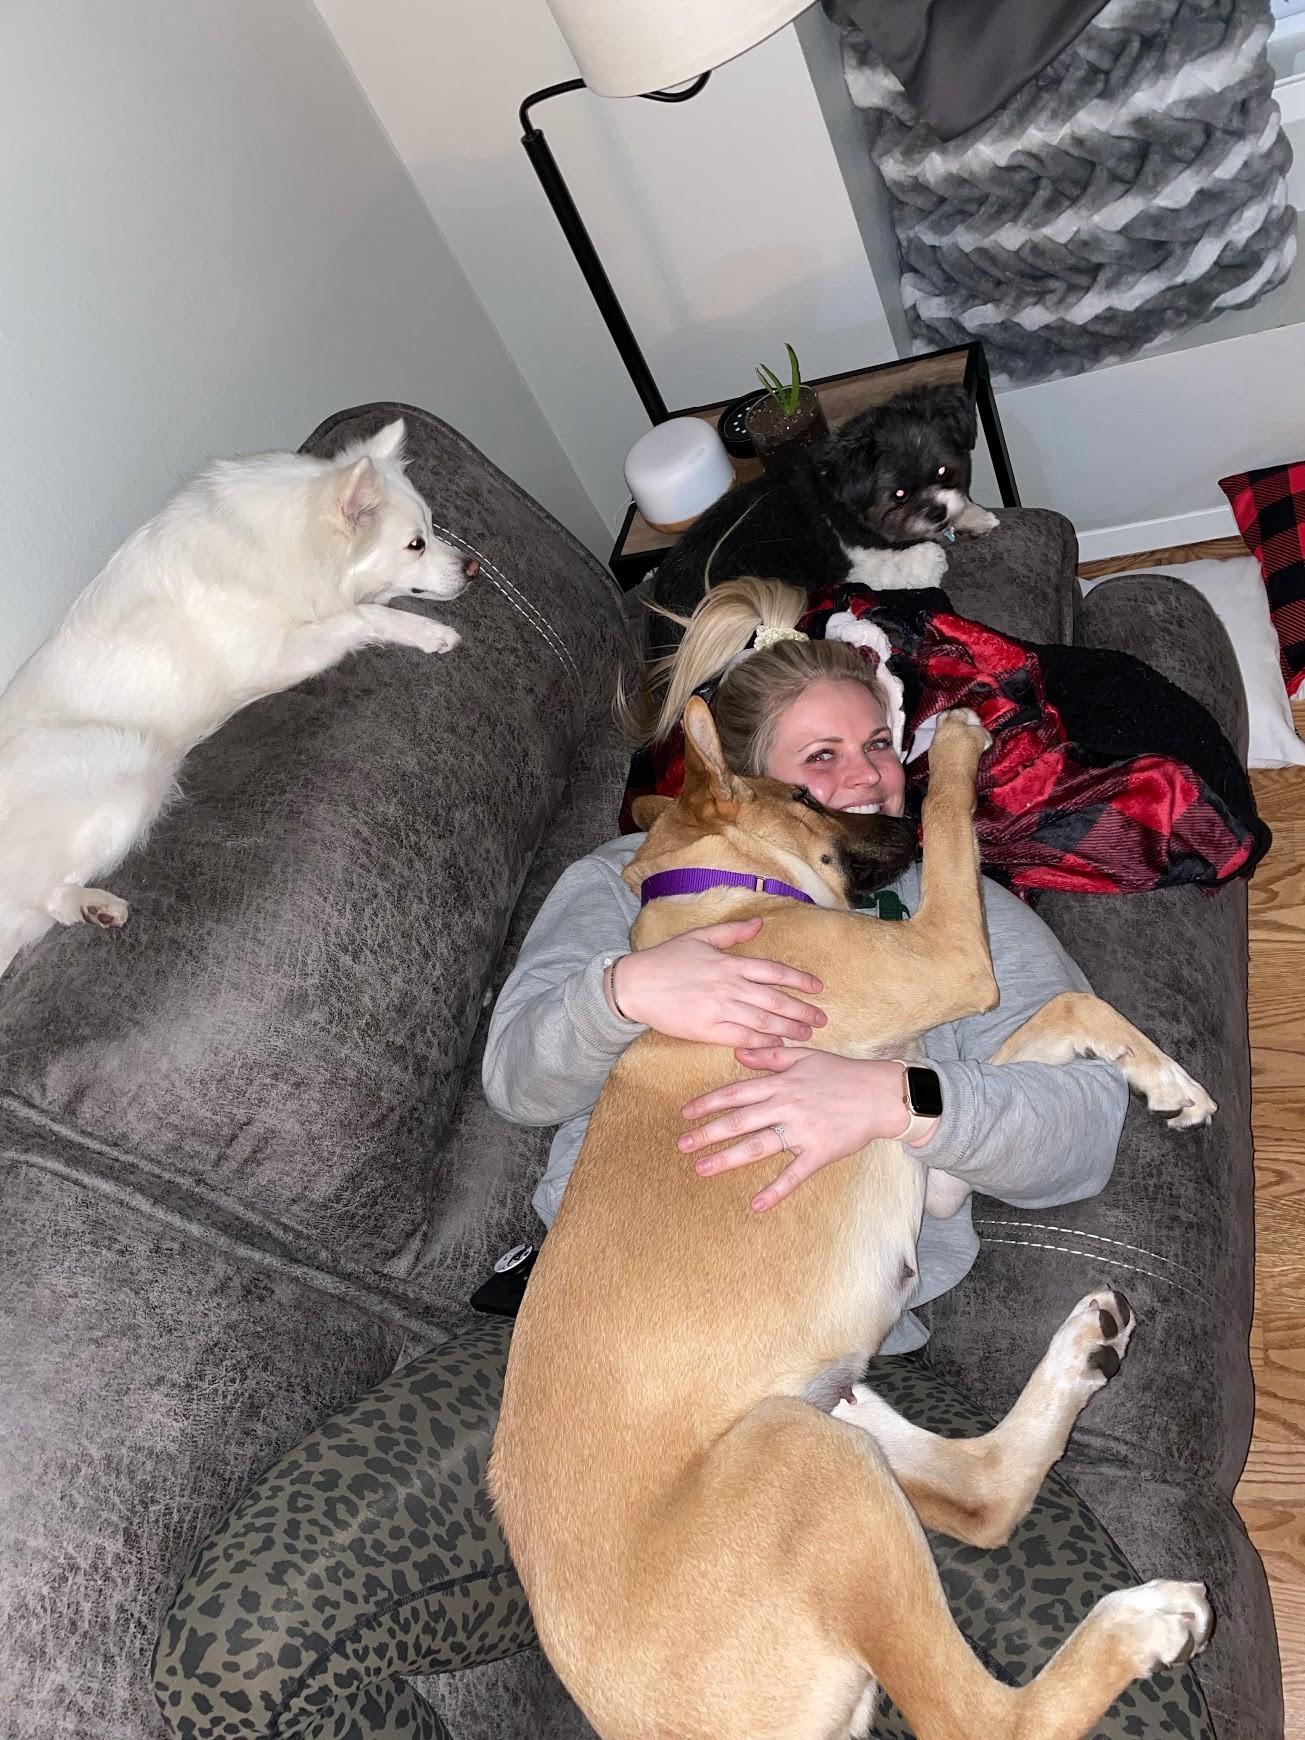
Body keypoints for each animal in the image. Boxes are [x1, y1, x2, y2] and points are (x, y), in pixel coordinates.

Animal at [0, 412, 476, 974]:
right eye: (415, 544)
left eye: (432, 527)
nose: (473, 568)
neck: (277, 547)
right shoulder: (277, 653)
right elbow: (363, 614)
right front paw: (426, 632)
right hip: (132, 768)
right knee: (38, 889)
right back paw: (91, 903)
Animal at [490, 699, 1218, 1733]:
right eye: (804, 790)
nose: (896, 807)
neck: (721, 897)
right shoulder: (943, 953)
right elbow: (1029, 957)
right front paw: (957, 751)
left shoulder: (923, 1120)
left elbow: (1018, 1047)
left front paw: (1151, 1075)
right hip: (799, 1459)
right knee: (983, 1711)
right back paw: (1142, 1623)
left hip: (830, 1408)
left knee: (977, 1494)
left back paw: (1085, 1353)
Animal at [650, 388, 1002, 654]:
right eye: (899, 495)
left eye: (943, 471)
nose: (936, 513)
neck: (837, 495)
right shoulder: (855, 566)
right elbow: (898, 565)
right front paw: (928, 556)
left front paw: (972, 515)